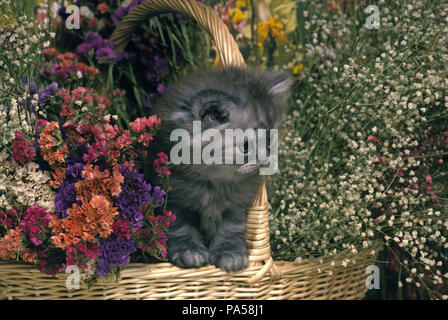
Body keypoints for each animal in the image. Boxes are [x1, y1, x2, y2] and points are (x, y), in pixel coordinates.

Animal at [149, 66, 292, 272]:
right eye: (245, 146)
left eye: (268, 140)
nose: (266, 160)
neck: (213, 184)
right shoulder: (173, 201)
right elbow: (180, 228)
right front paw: (188, 251)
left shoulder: (238, 204)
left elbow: (230, 229)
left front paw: (230, 254)